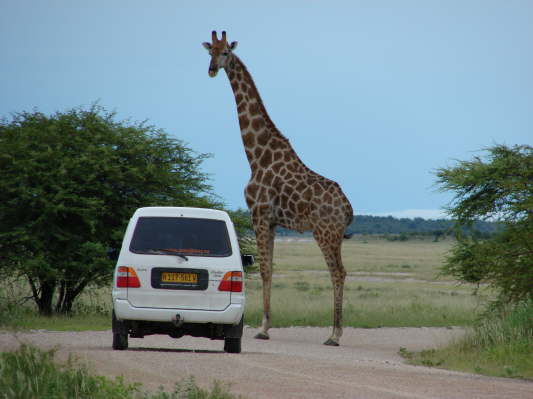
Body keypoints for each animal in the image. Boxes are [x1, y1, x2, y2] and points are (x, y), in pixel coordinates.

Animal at [204, 32, 354, 346]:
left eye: (225, 53)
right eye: (209, 51)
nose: (211, 70)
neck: (256, 155)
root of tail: (348, 208)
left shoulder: (259, 214)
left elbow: (263, 269)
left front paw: (262, 328)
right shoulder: (272, 221)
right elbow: (270, 268)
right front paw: (266, 325)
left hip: (325, 232)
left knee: (337, 272)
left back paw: (334, 334)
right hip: (335, 235)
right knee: (342, 271)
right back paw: (335, 331)